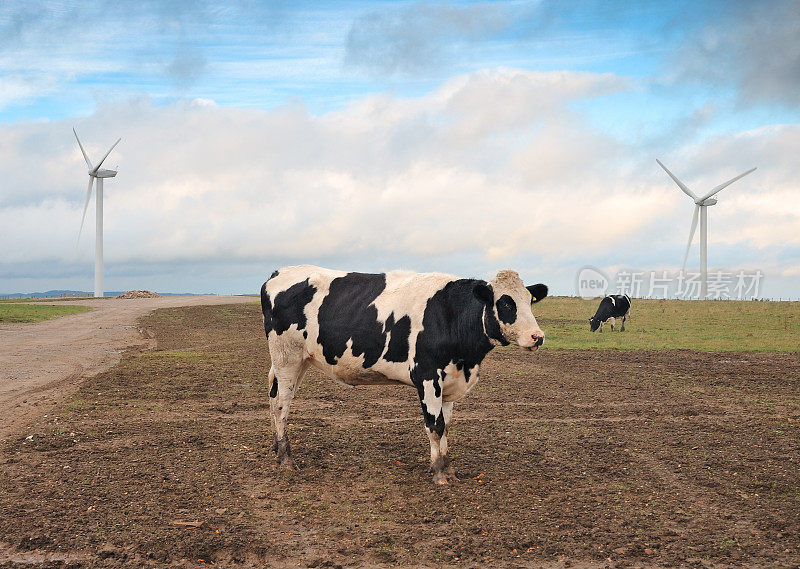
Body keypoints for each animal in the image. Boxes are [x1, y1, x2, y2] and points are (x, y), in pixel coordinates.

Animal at [260, 266, 548, 484]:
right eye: (506, 302)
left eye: (528, 300)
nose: (538, 336)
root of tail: (279, 272)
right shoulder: (427, 376)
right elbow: (435, 425)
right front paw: (439, 473)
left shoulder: (450, 381)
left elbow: (446, 425)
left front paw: (448, 467)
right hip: (287, 358)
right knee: (281, 405)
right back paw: (286, 458)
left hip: (299, 362)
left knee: (274, 399)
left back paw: (276, 448)